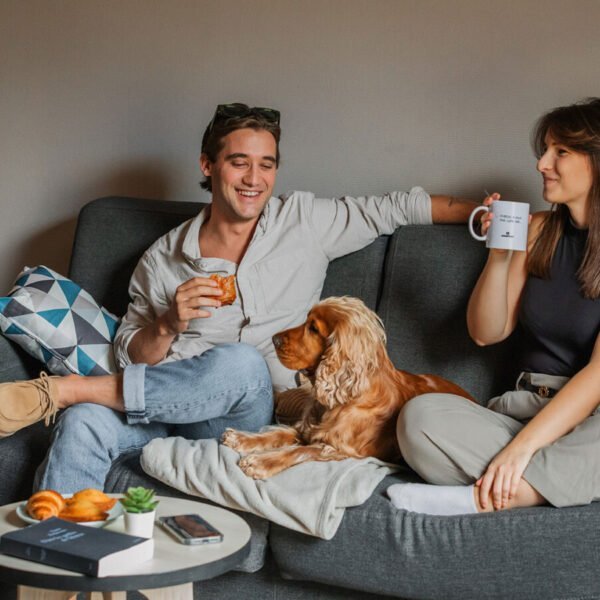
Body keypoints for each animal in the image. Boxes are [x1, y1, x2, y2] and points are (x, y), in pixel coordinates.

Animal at [221, 296, 474, 478]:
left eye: (313, 328)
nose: (274, 339)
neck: (346, 398)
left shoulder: (340, 450)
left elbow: (299, 451)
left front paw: (261, 462)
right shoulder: (307, 429)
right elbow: (278, 432)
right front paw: (242, 439)